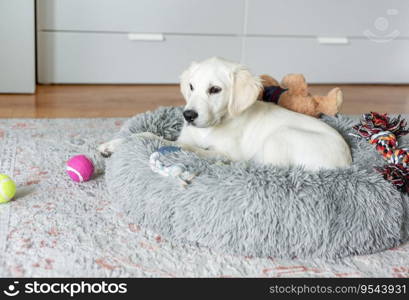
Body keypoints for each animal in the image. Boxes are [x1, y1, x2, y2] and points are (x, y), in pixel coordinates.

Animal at [99, 57, 350, 170]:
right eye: (191, 86)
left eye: (215, 90)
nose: (188, 116)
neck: (213, 126)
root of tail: (347, 163)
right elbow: (148, 135)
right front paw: (112, 144)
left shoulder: (227, 151)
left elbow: (182, 146)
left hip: (282, 137)